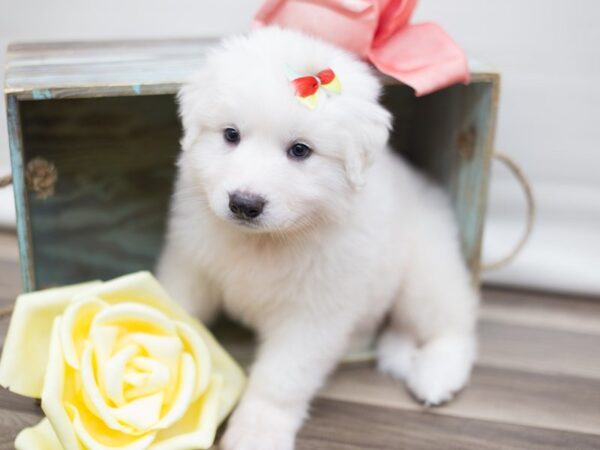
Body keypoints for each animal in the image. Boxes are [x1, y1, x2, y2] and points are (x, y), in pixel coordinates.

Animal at [158, 27, 478, 450]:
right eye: (231, 135)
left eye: (300, 150)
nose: (244, 204)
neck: (268, 241)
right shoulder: (190, 265)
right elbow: (173, 314)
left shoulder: (314, 314)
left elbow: (280, 381)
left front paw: (256, 433)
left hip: (426, 274)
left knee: (454, 326)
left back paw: (436, 377)